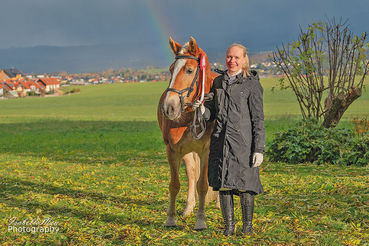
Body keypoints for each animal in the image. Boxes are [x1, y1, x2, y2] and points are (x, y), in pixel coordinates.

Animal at [157, 37, 218, 231]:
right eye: (171, 69)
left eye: (189, 70)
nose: (169, 108)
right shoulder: (173, 150)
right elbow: (175, 185)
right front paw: (171, 218)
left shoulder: (206, 151)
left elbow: (203, 185)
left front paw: (200, 221)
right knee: (191, 174)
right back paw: (189, 207)